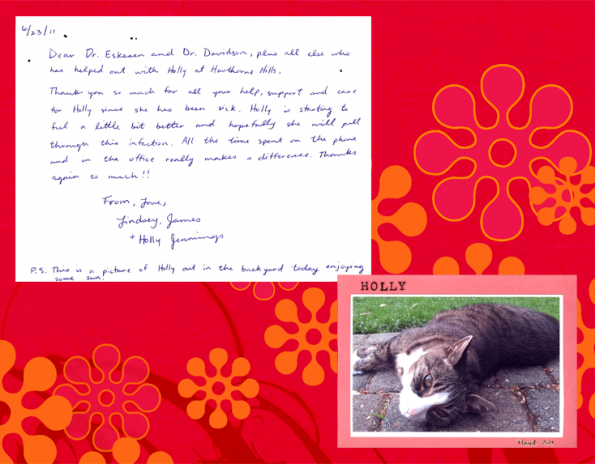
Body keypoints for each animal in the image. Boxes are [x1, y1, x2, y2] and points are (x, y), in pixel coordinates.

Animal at [352, 304, 560, 428]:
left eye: (440, 412)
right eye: (428, 381)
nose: (411, 411)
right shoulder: (401, 340)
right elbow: (378, 353)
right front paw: (358, 361)